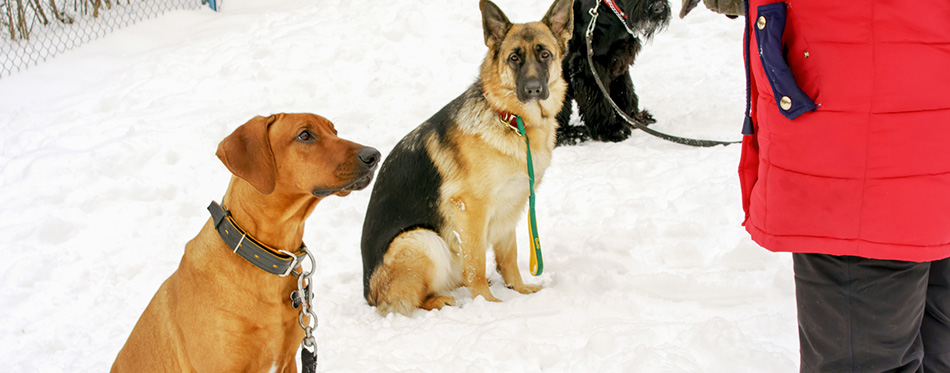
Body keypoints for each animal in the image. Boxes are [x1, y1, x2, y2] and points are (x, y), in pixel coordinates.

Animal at [362, 0, 572, 316]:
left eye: (545, 54)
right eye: (514, 58)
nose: (534, 89)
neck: (511, 120)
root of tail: (368, 294)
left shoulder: (512, 207)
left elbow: (509, 256)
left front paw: (519, 289)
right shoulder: (470, 209)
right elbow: (476, 263)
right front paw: (488, 303)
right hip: (421, 239)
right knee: (408, 300)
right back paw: (441, 300)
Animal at [556, 0, 672, 145]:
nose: (658, 7)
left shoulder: (619, 65)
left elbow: (625, 92)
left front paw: (633, 118)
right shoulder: (591, 67)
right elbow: (600, 101)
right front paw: (611, 130)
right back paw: (573, 134)